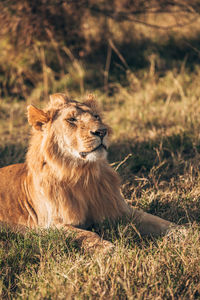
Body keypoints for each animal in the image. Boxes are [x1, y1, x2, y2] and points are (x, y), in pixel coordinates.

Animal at [0, 94, 172, 253]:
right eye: (72, 120)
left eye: (96, 116)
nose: (102, 131)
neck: (83, 174)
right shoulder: (49, 226)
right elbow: (86, 234)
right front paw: (109, 249)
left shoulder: (123, 211)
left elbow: (161, 222)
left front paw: (178, 233)